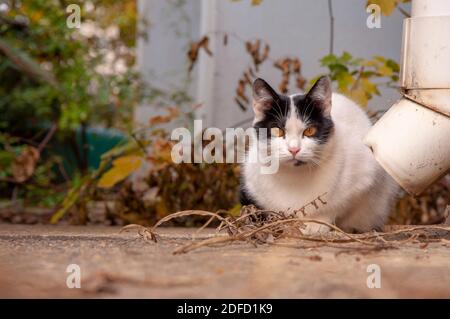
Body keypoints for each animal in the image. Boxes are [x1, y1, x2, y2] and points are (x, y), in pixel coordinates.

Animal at [241, 76, 400, 234]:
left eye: (310, 131)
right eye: (277, 131)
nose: (294, 149)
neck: (295, 178)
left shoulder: (363, 178)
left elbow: (337, 207)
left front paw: (316, 224)